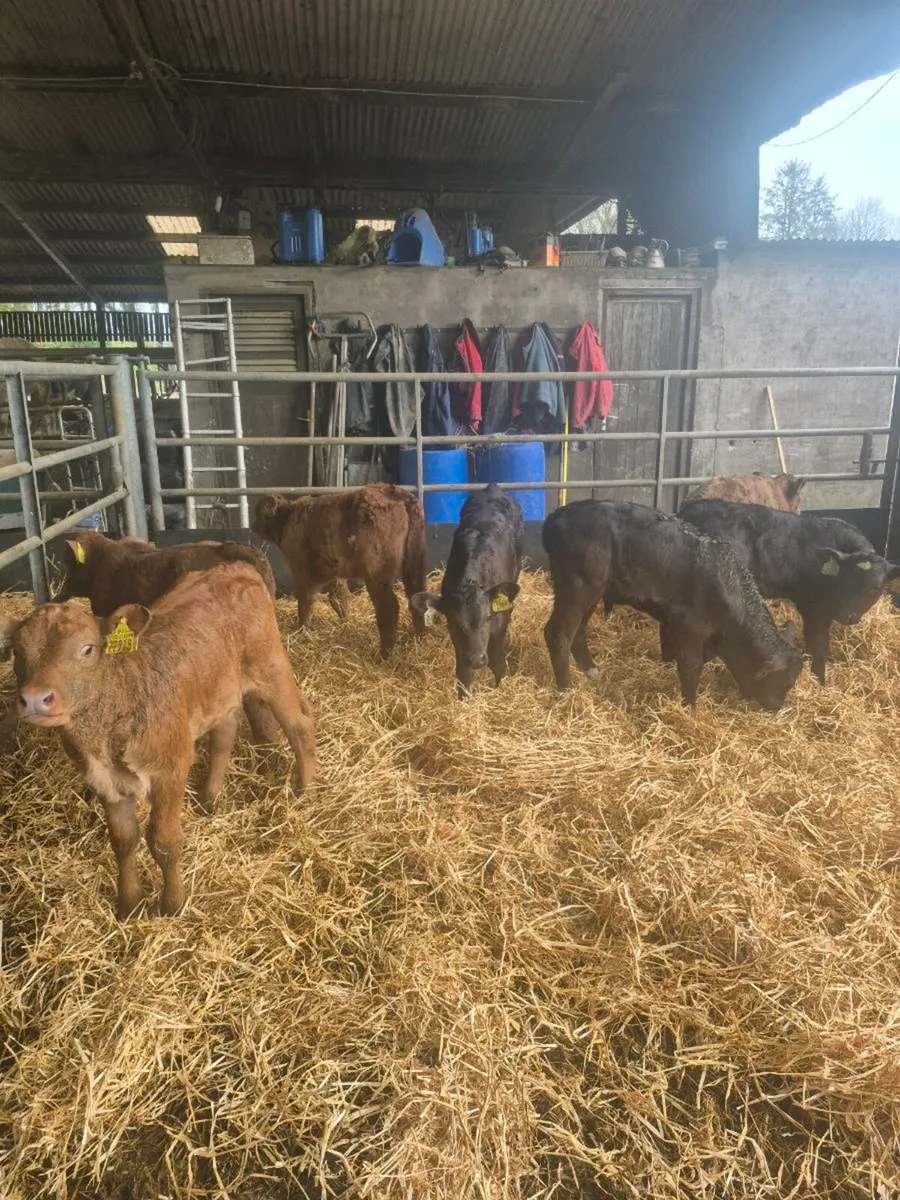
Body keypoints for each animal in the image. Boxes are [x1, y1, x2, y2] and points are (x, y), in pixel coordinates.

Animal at [0, 563, 316, 918]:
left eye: (87, 649)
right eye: (16, 652)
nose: (35, 698)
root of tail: (234, 567)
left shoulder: (170, 769)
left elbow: (164, 841)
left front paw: (172, 904)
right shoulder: (104, 780)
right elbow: (123, 840)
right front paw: (129, 903)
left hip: (271, 666)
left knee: (300, 726)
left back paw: (305, 791)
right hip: (218, 687)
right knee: (225, 731)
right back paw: (209, 798)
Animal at [252, 484, 427, 658]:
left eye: (258, 512)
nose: (252, 527)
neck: (288, 519)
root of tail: (395, 491)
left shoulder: (302, 571)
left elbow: (305, 603)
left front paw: (302, 631)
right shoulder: (335, 573)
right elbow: (339, 598)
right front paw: (345, 623)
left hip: (377, 576)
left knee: (388, 608)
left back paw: (384, 655)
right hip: (414, 568)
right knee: (416, 597)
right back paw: (419, 639)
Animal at [411, 485, 523, 697]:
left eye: (488, 618)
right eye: (455, 622)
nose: (477, 659)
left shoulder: (500, 621)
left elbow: (497, 661)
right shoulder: (458, 639)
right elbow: (463, 672)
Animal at [542, 500, 803, 709]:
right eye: (780, 682)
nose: (775, 707)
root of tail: (557, 517)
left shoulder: (673, 621)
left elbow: (670, 650)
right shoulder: (690, 626)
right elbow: (691, 667)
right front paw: (690, 707)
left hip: (593, 591)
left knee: (578, 631)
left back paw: (591, 671)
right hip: (577, 586)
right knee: (558, 634)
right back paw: (566, 689)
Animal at [677, 498, 900, 683]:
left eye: (875, 587)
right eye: (846, 580)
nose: (848, 616)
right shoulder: (814, 609)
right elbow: (818, 646)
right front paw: (820, 682)